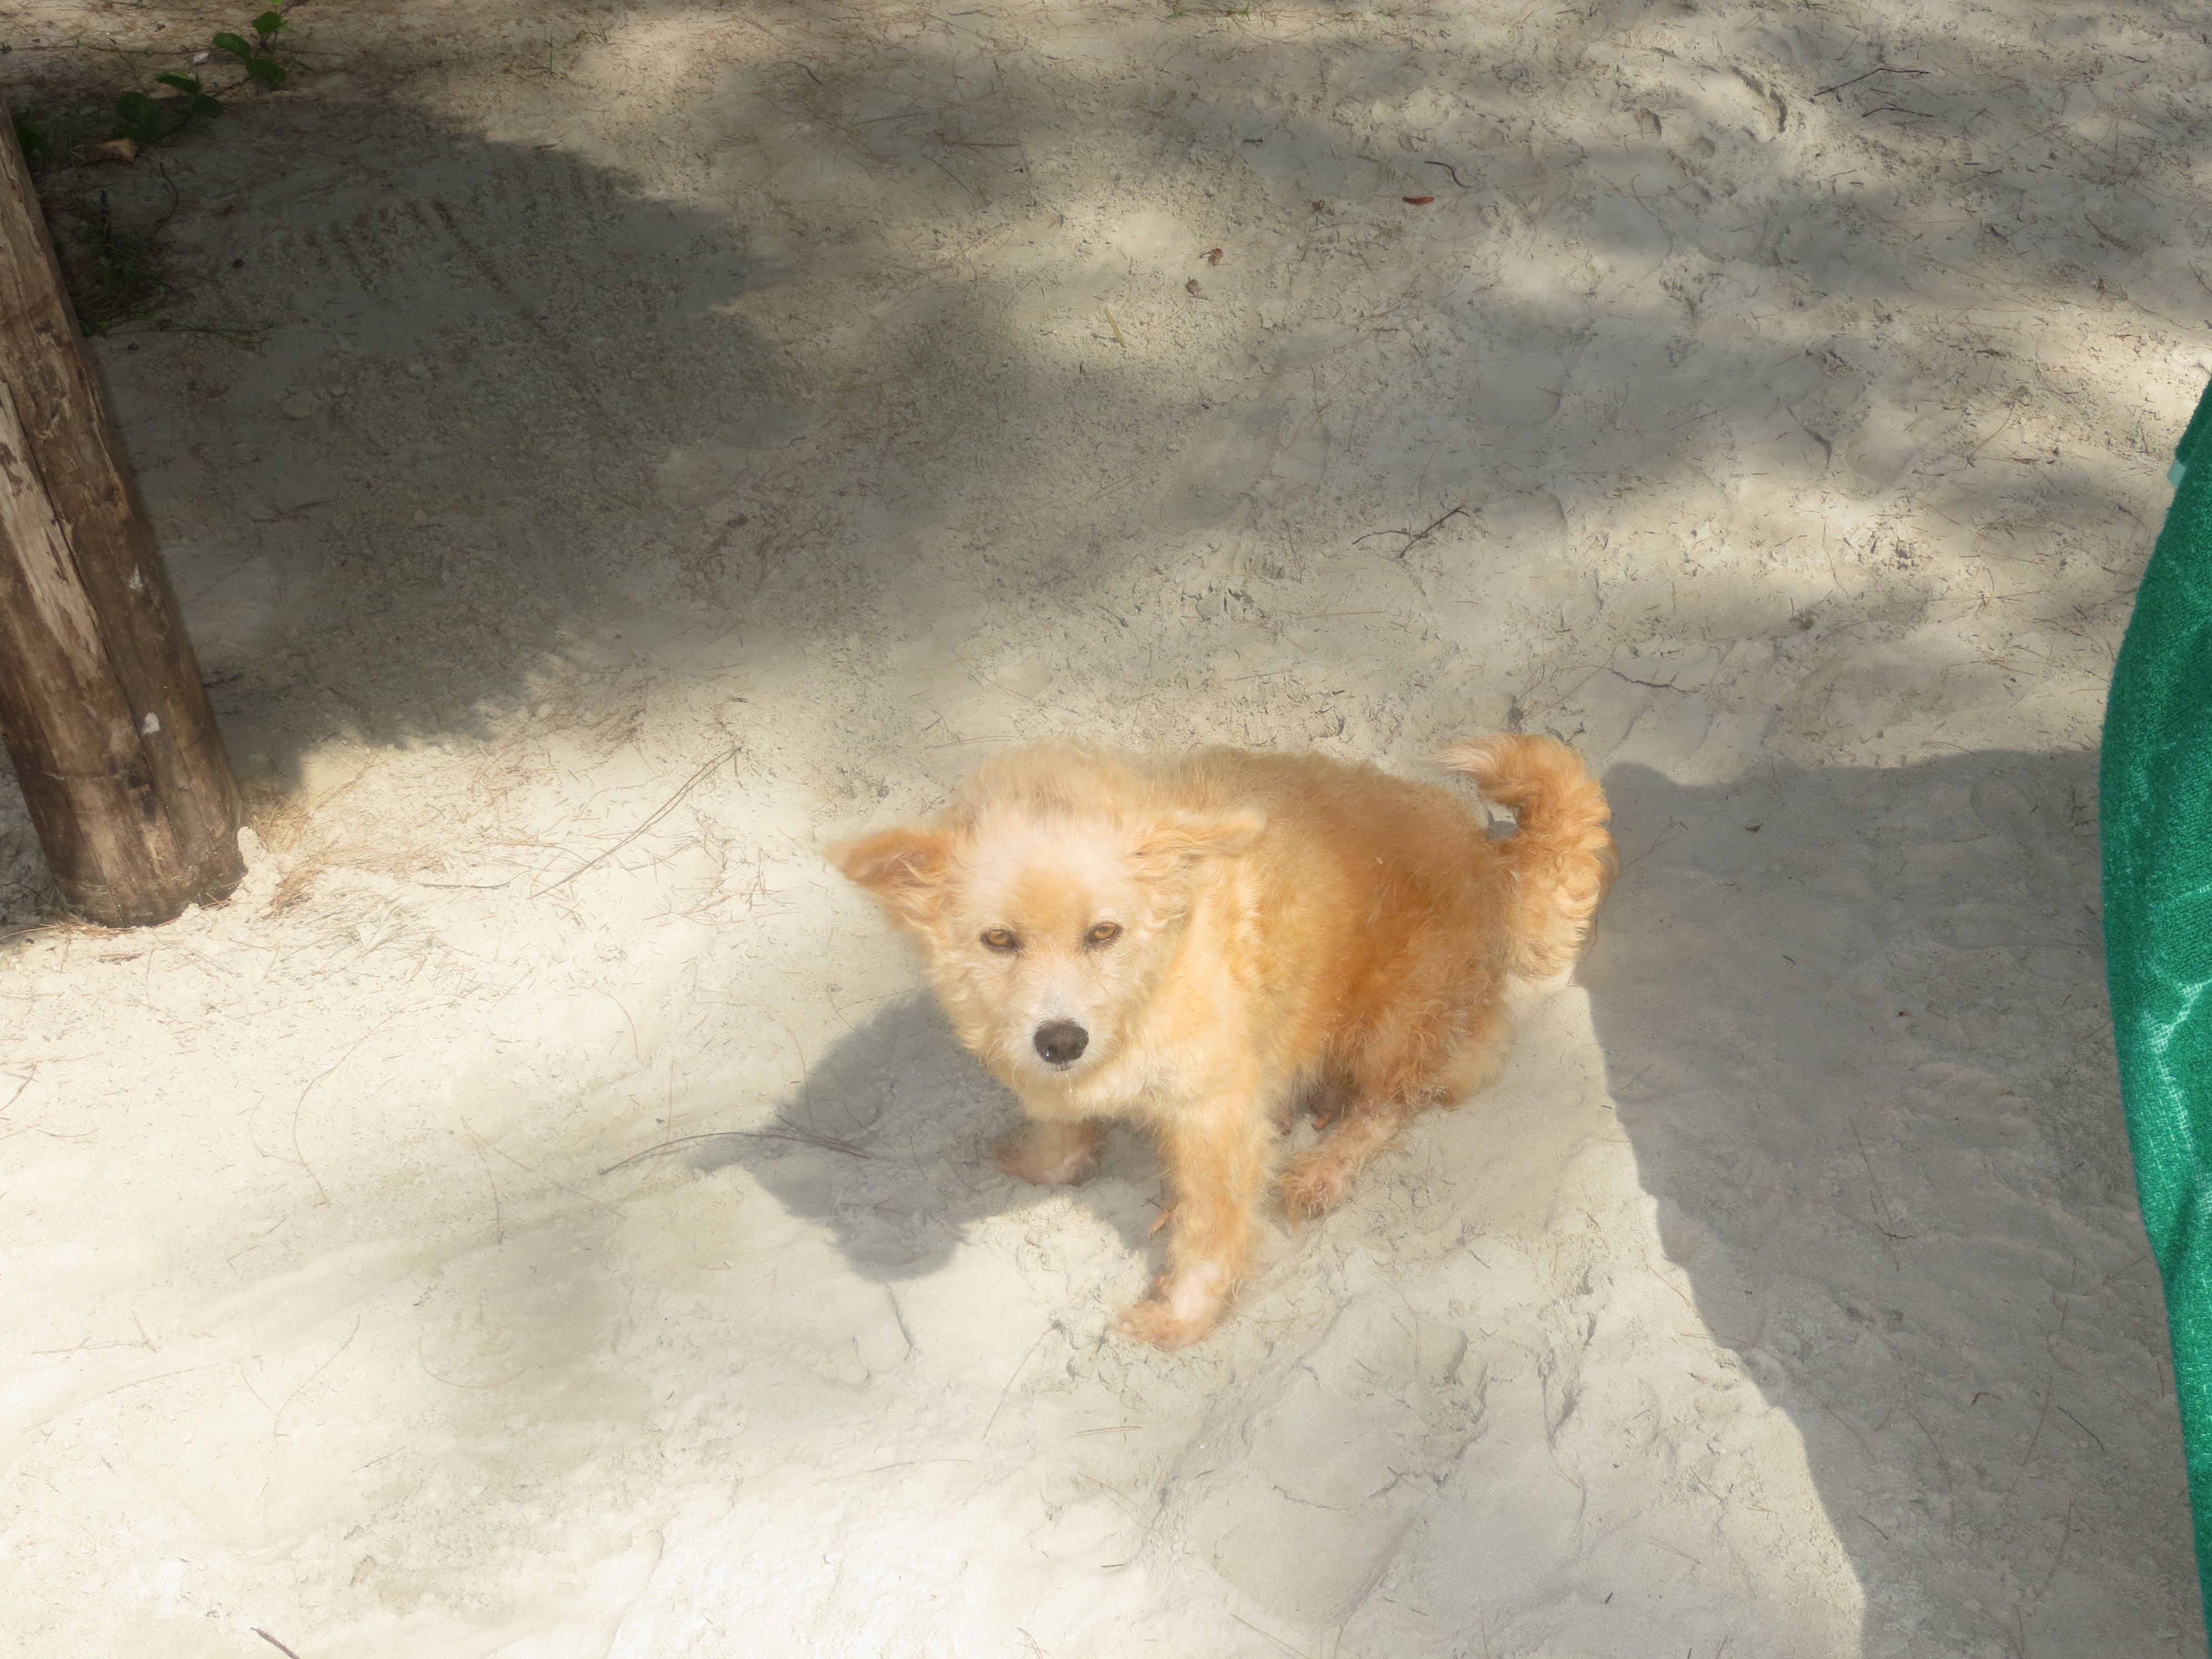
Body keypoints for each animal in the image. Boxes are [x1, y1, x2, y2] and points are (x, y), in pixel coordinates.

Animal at [830, 734, 1614, 1349]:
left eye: (1103, 932)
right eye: (998, 940)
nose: (1060, 1039)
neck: (1156, 971)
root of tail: (1492, 862)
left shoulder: (1214, 1117)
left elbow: (1210, 1231)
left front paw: (1180, 1317)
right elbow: (1059, 1127)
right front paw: (1042, 1160)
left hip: (1398, 1020)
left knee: (1394, 1102)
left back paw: (1323, 1169)